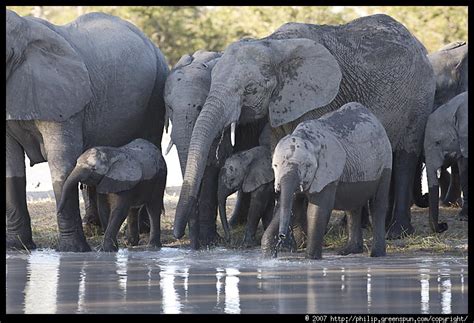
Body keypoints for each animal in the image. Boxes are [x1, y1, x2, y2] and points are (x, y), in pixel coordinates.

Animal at [6, 10, 168, 252]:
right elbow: (11, 165)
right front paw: (16, 247)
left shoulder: (63, 95)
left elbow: (62, 162)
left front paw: (72, 250)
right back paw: (94, 227)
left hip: (157, 90)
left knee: (150, 141)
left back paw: (143, 229)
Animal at [268, 102, 390, 260]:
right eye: (275, 166)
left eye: (307, 165)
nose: (281, 237)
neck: (308, 139)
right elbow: (292, 202)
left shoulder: (328, 171)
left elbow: (318, 210)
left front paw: (311, 259)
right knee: (352, 207)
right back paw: (349, 251)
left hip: (386, 160)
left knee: (377, 204)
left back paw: (377, 254)